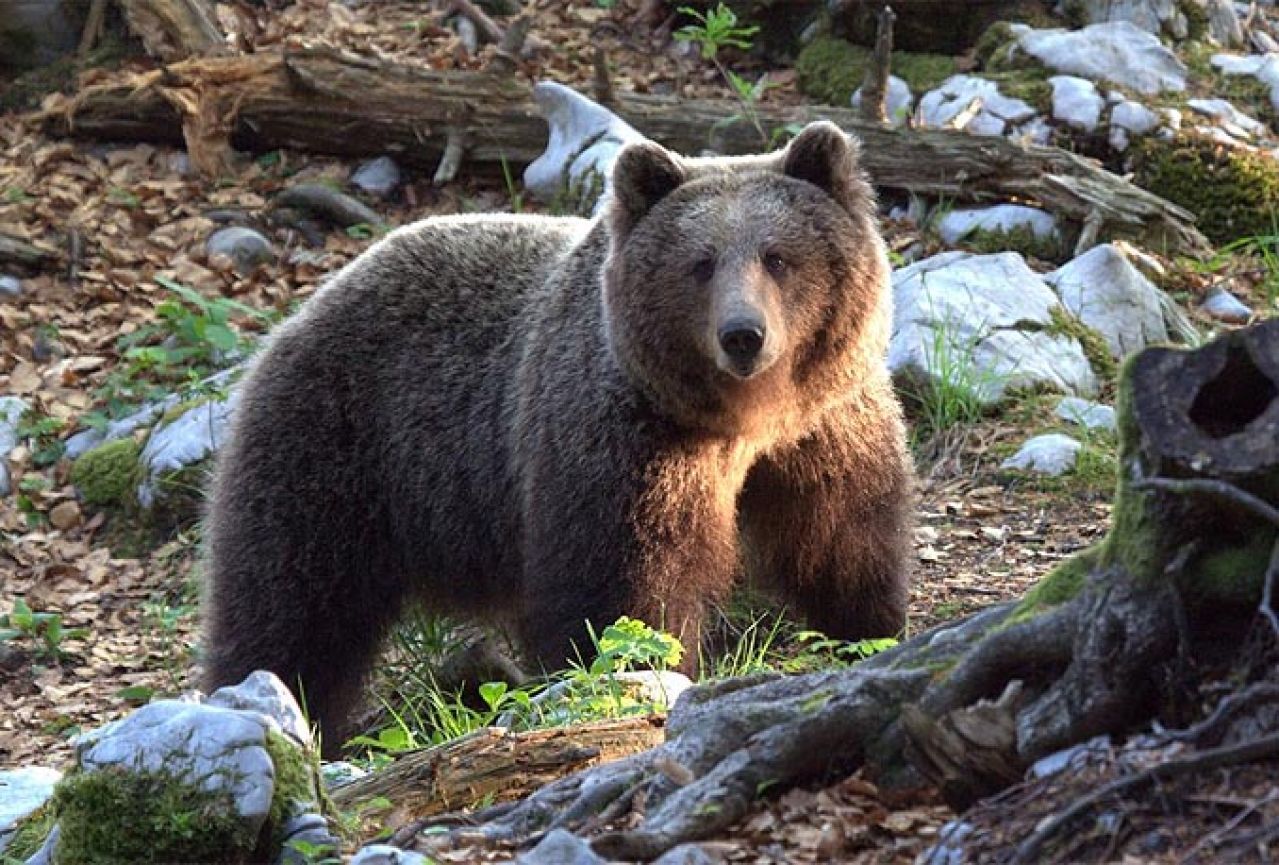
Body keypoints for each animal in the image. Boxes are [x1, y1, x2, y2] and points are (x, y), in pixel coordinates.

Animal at [202, 118, 910, 747]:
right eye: (701, 263)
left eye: (778, 256)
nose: (743, 335)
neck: (743, 419)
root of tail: (300, 311)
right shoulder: (627, 440)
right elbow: (625, 591)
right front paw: (640, 673)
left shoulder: (822, 429)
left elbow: (842, 534)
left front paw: (868, 628)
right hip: (337, 449)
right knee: (293, 605)